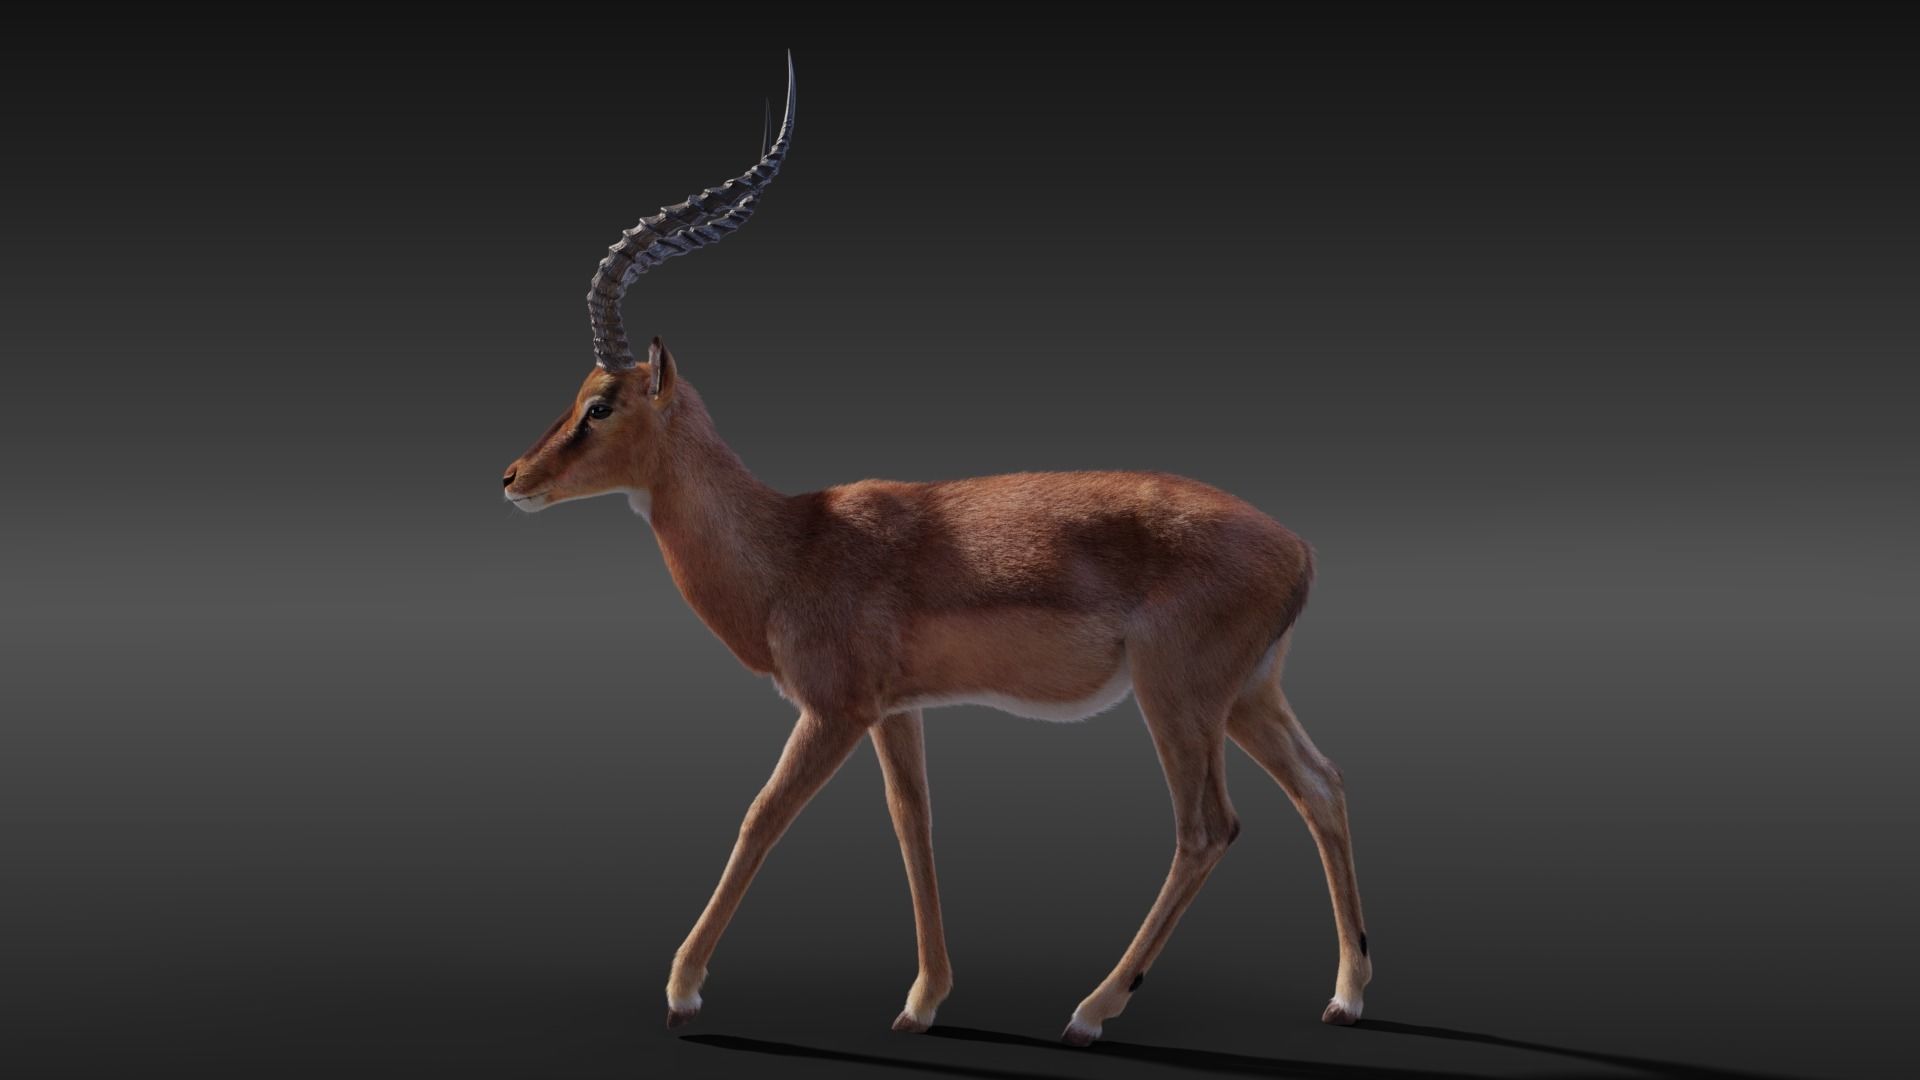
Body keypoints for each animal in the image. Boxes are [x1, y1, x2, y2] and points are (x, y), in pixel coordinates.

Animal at [500, 53, 1371, 1045]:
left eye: (600, 404)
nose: (514, 477)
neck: (793, 544)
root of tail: (1299, 549)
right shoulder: (896, 711)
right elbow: (912, 826)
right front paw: (922, 1001)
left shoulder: (833, 709)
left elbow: (761, 817)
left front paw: (683, 990)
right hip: (1250, 695)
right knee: (1323, 786)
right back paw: (1345, 995)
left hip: (1177, 697)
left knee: (1208, 827)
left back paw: (1091, 1009)